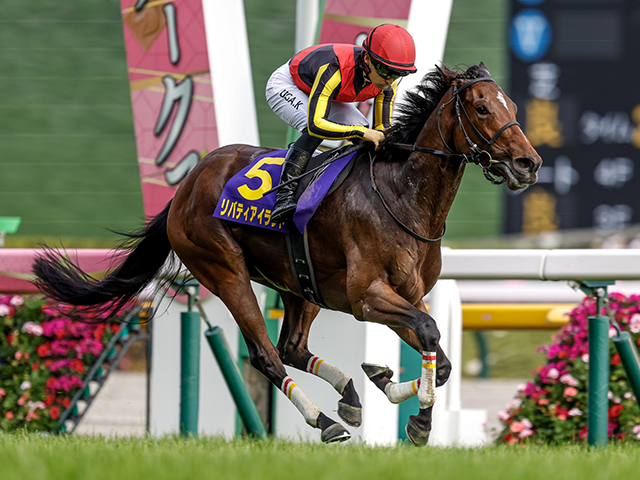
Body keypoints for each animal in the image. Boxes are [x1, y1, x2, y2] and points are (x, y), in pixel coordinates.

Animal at [30, 63, 540, 446]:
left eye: (514, 107)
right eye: (481, 107)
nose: (529, 163)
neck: (402, 196)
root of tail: (187, 183)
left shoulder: (407, 297)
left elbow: (443, 356)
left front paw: (387, 382)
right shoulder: (367, 298)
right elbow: (432, 332)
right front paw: (418, 421)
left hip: (300, 283)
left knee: (292, 346)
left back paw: (351, 395)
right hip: (225, 270)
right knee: (266, 355)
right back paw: (326, 421)